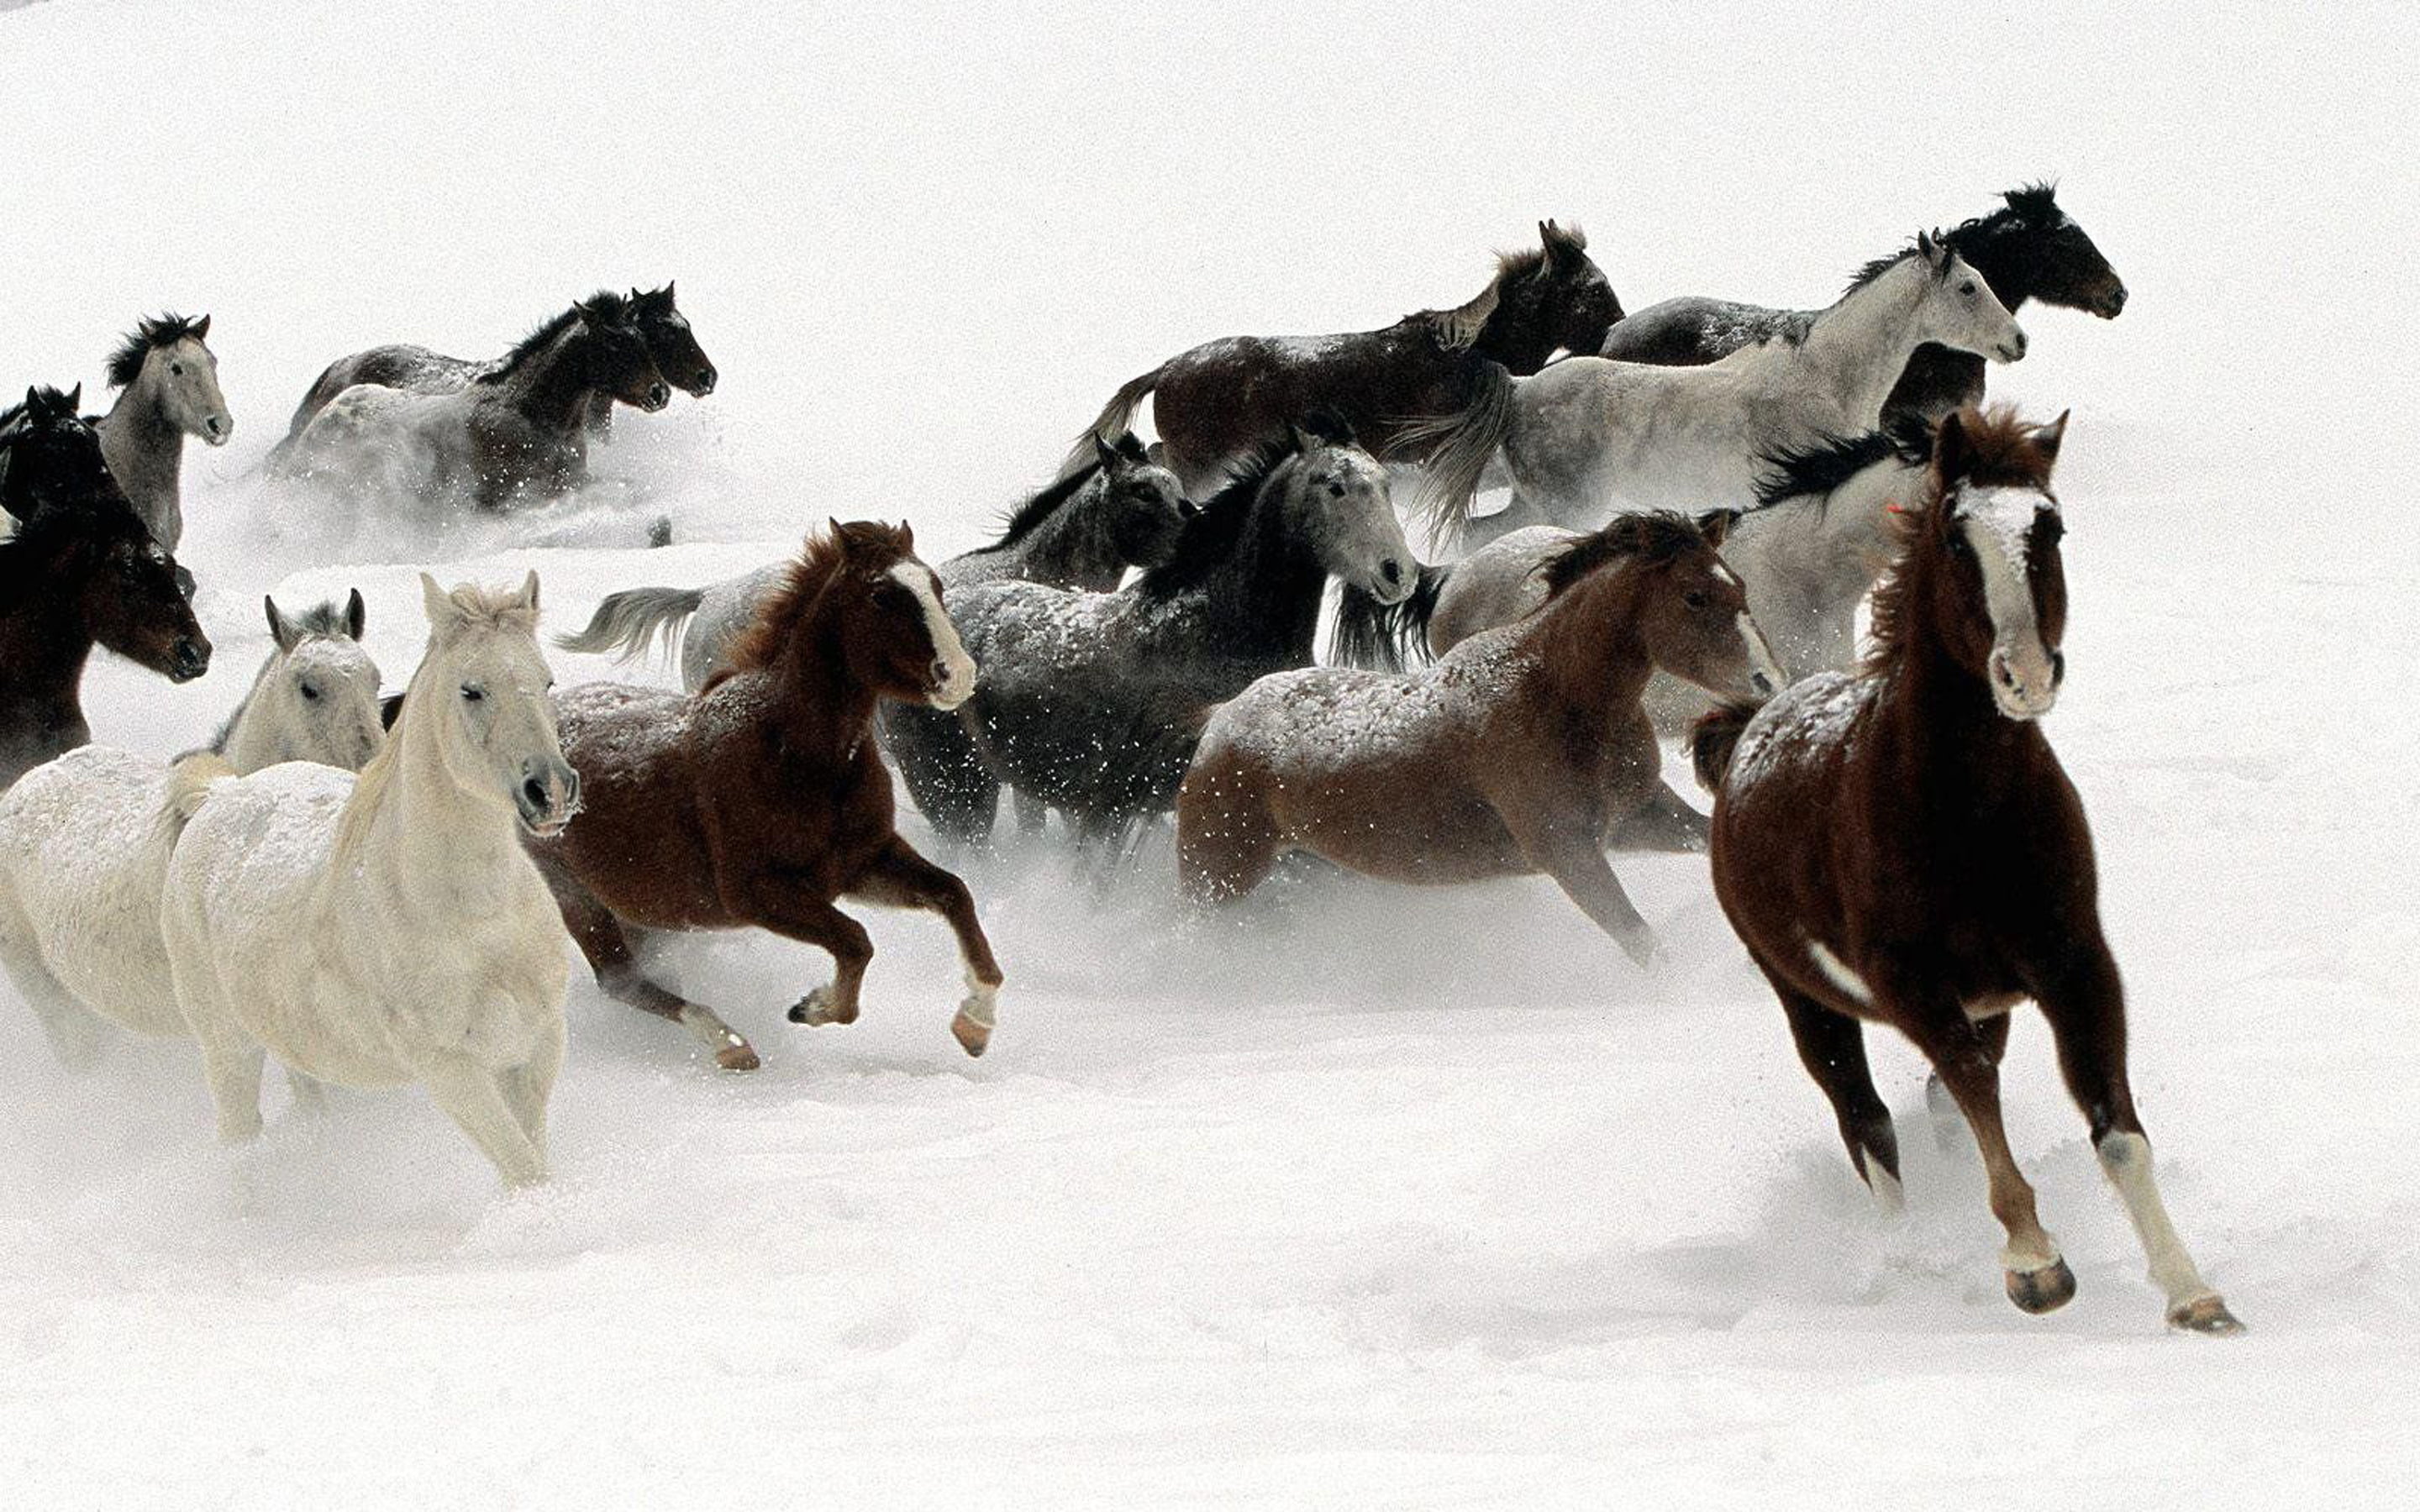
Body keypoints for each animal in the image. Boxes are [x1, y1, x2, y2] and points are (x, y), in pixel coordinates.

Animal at [159, 573, 580, 1188]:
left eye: (546, 680)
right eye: (470, 690)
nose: (549, 791)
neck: (478, 918)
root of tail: (220, 794)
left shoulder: (536, 1047)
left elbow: (534, 1159)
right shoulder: (451, 1069)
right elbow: (525, 1171)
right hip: (228, 1047)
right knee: (238, 1133)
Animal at [527, 520, 1003, 1071]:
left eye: (935, 586)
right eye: (882, 595)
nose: (959, 674)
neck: (793, 753)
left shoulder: (862, 862)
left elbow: (954, 894)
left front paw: (975, 1023)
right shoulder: (757, 892)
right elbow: (856, 942)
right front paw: (815, 1008)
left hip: (640, 910)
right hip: (575, 895)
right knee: (620, 981)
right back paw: (729, 1043)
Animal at [1180, 512, 1780, 964]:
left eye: (1741, 587)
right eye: (1694, 596)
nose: (1767, 680)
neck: (1557, 695)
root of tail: (1221, 720)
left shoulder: (1638, 817)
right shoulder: (1566, 850)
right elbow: (1641, 942)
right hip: (1217, 879)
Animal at [1690, 407, 2242, 1334]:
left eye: (2050, 527)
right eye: (1955, 537)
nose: (2026, 675)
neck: (1967, 817)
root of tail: (1746, 729)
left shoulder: (2074, 965)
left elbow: (2114, 1126)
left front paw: (2193, 1294)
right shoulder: (1912, 985)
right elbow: (1973, 1093)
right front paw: (2035, 1265)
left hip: (1990, 1002)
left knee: (1932, 1110)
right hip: (1807, 1001)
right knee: (1868, 1123)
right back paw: (1910, 1259)